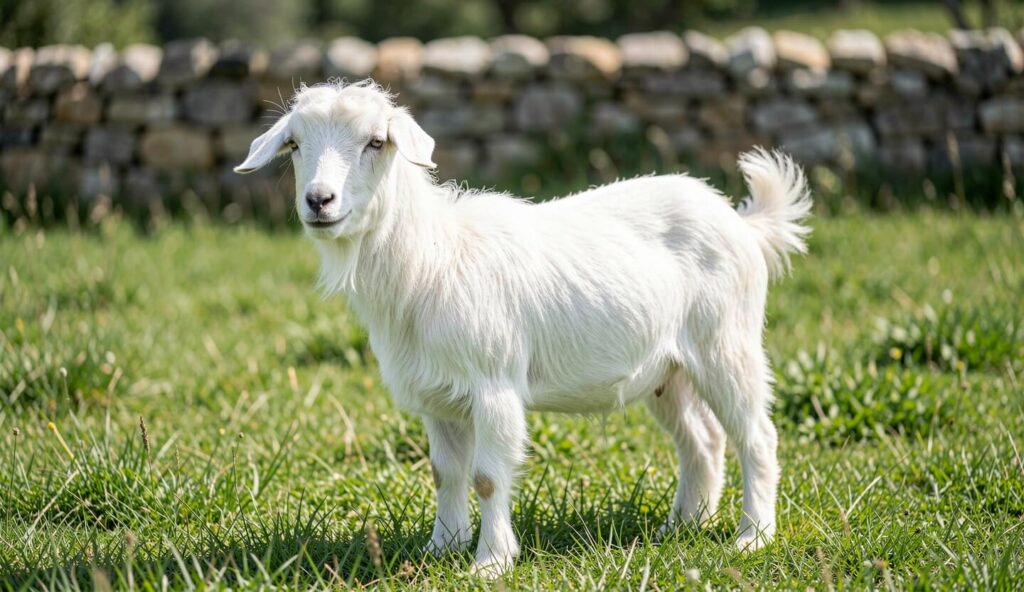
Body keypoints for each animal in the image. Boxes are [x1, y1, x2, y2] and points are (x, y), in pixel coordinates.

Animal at [236, 80, 812, 577]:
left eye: (376, 141)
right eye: (294, 144)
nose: (319, 201)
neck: (431, 259)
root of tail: (743, 224)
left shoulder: (493, 384)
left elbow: (488, 478)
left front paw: (490, 562)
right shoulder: (436, 397)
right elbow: (446, 472)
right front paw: (441, 547)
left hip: (727, 341)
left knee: (756, 435)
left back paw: (752, 536)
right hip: (667, 368)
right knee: (703, 440)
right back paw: (682, 526)